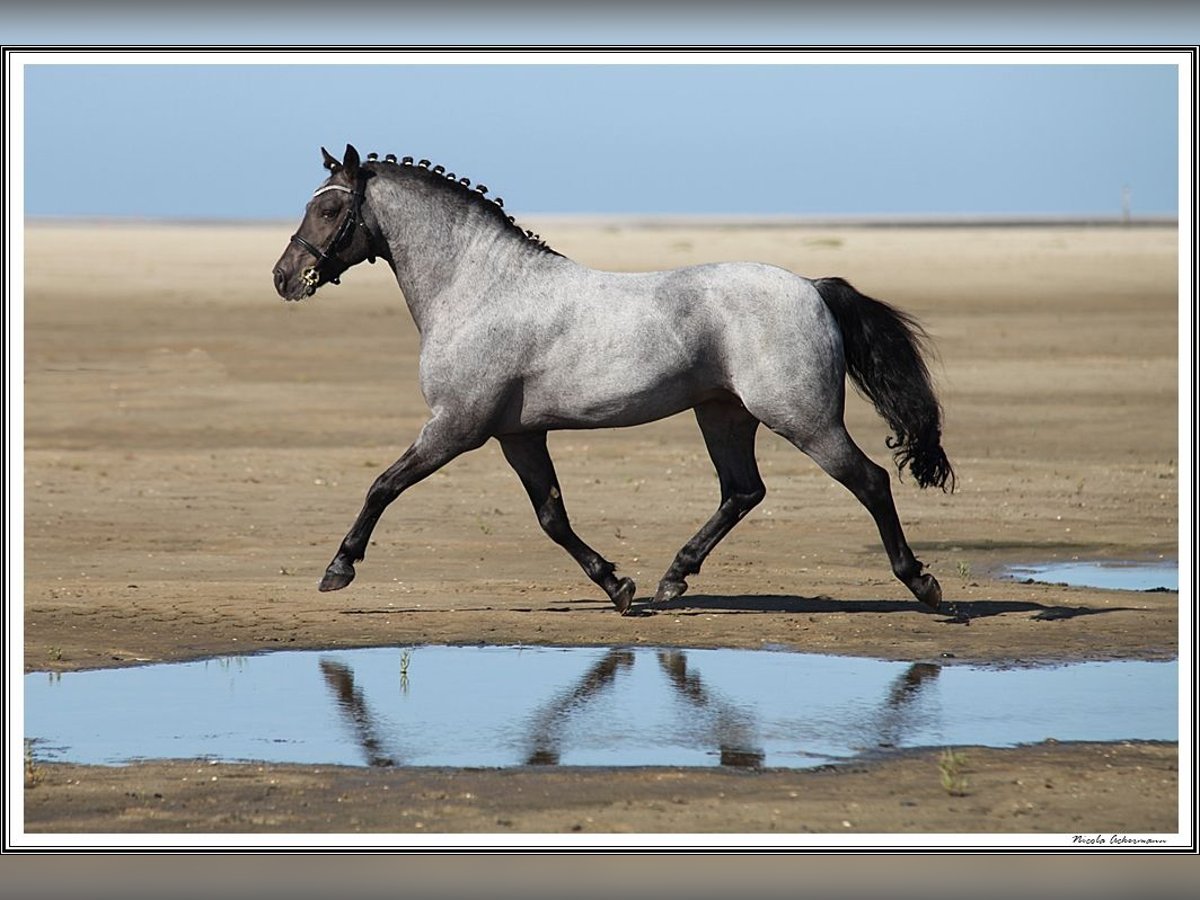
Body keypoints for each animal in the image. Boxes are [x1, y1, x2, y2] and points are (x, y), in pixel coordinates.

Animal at [272, 144, 955, 619]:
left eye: (329, 207)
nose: (283, 277)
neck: (479, 287)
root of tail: (812, 287)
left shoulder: (454, 428)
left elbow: (383, 486)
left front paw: (338, 569)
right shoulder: (518, 437)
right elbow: (552, 517)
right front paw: (617, 585)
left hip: (803, 420)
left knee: (868, 482)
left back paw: (923, 584)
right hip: (723, 414)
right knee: (742, 491)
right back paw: (671, 579)